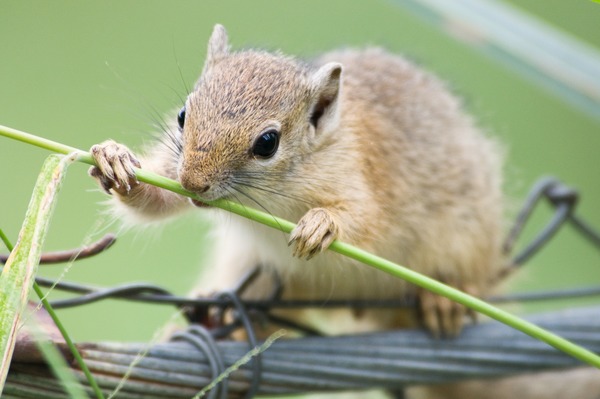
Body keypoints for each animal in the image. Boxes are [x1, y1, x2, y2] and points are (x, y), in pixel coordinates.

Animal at [90, 24, 502, 338]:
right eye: (182, 115)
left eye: (267, 143)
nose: (192, 182)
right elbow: (153, 201)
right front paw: (115, 160)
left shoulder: (361, 179)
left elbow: (367, 222)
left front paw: (321, 225)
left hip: (465, 243)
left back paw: (445, 299)